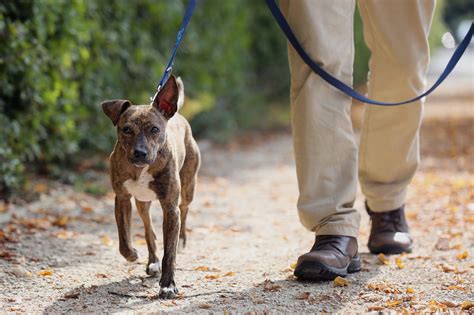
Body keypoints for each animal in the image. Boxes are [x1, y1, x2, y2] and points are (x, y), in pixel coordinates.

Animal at [101, 76, 200, 298]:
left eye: (154, 129)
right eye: (127, 129)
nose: (140, 153)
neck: (142, 169)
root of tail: (177, 114)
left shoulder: (170, 207)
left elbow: (169, 252)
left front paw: (168, 285)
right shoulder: (122, 199)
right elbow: (123, 239)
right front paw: (132, 254)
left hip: (188, 187)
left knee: (185, 209)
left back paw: (182, 239)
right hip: (142, 203)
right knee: (149, 231)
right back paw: (153, 261)